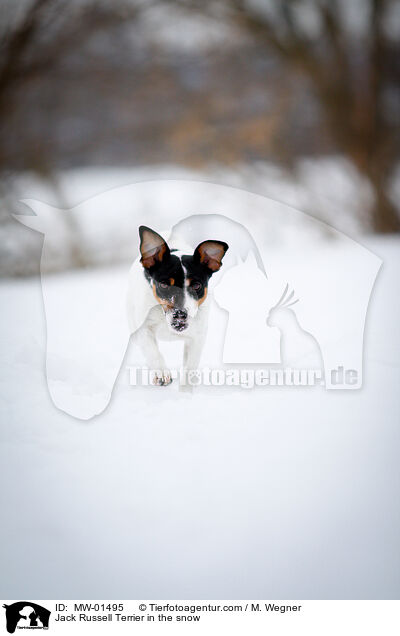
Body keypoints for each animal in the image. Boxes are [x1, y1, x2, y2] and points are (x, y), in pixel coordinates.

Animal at [128, 226, 228, 386]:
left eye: (196, 285)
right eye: (164, 284)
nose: (180, 314)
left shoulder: (197, 337)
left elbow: (190, 365)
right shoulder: (143, 329)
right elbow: (152, 351)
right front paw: (161, 373)